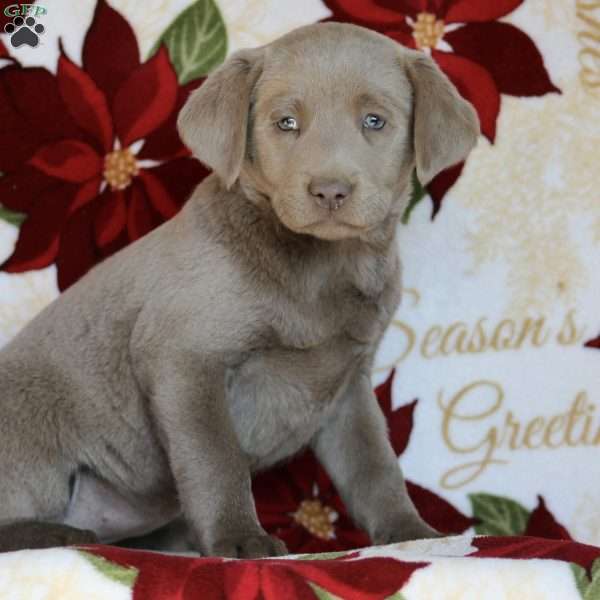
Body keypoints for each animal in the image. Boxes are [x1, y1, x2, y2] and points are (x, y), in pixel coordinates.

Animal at [0, 22, 478, 556]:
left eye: (375, 121)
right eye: (286, 123)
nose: (330, 191)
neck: (319, 267)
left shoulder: (348, 385)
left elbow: (374, 464)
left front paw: (411, 533)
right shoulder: (185, 360)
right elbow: (216, 458)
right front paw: (240, 539)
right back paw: (56, 534)